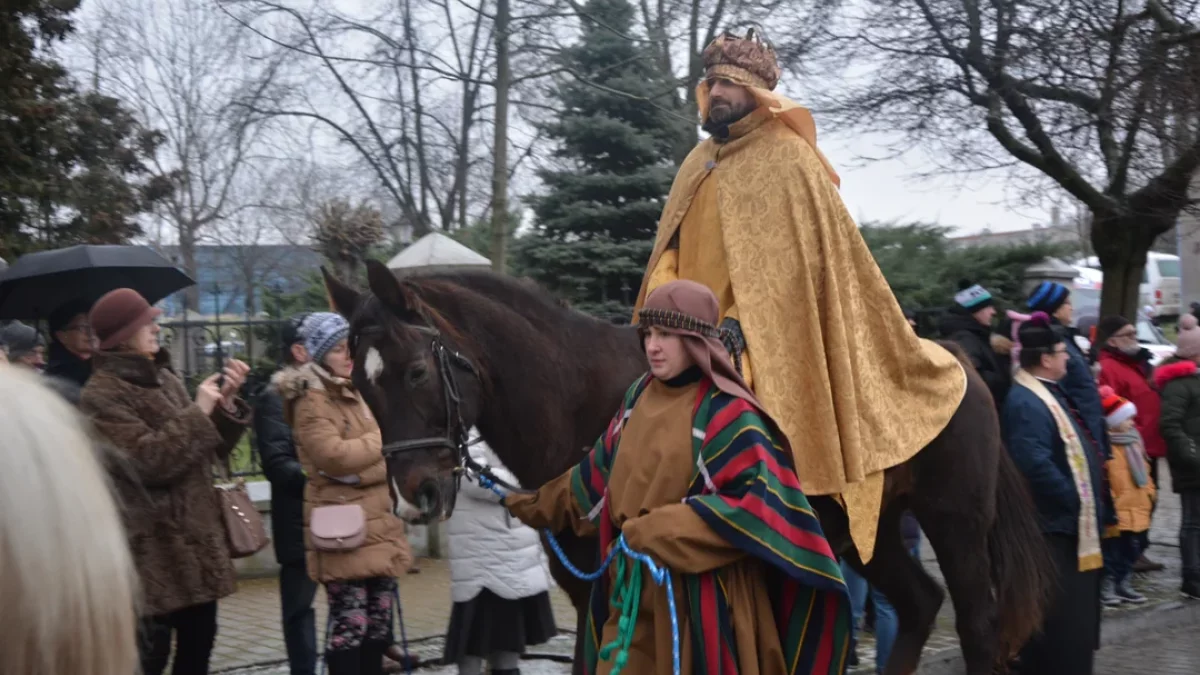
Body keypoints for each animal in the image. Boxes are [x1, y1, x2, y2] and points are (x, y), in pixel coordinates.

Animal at [326, 261, 1051, 672]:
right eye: (359, 386)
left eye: (416, 371)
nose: (414, 495)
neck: (581, 395)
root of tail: (961, 362)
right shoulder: (590, 587)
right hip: (867, 533)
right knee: (921, 603)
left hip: (955, 524)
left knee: (978, 626)